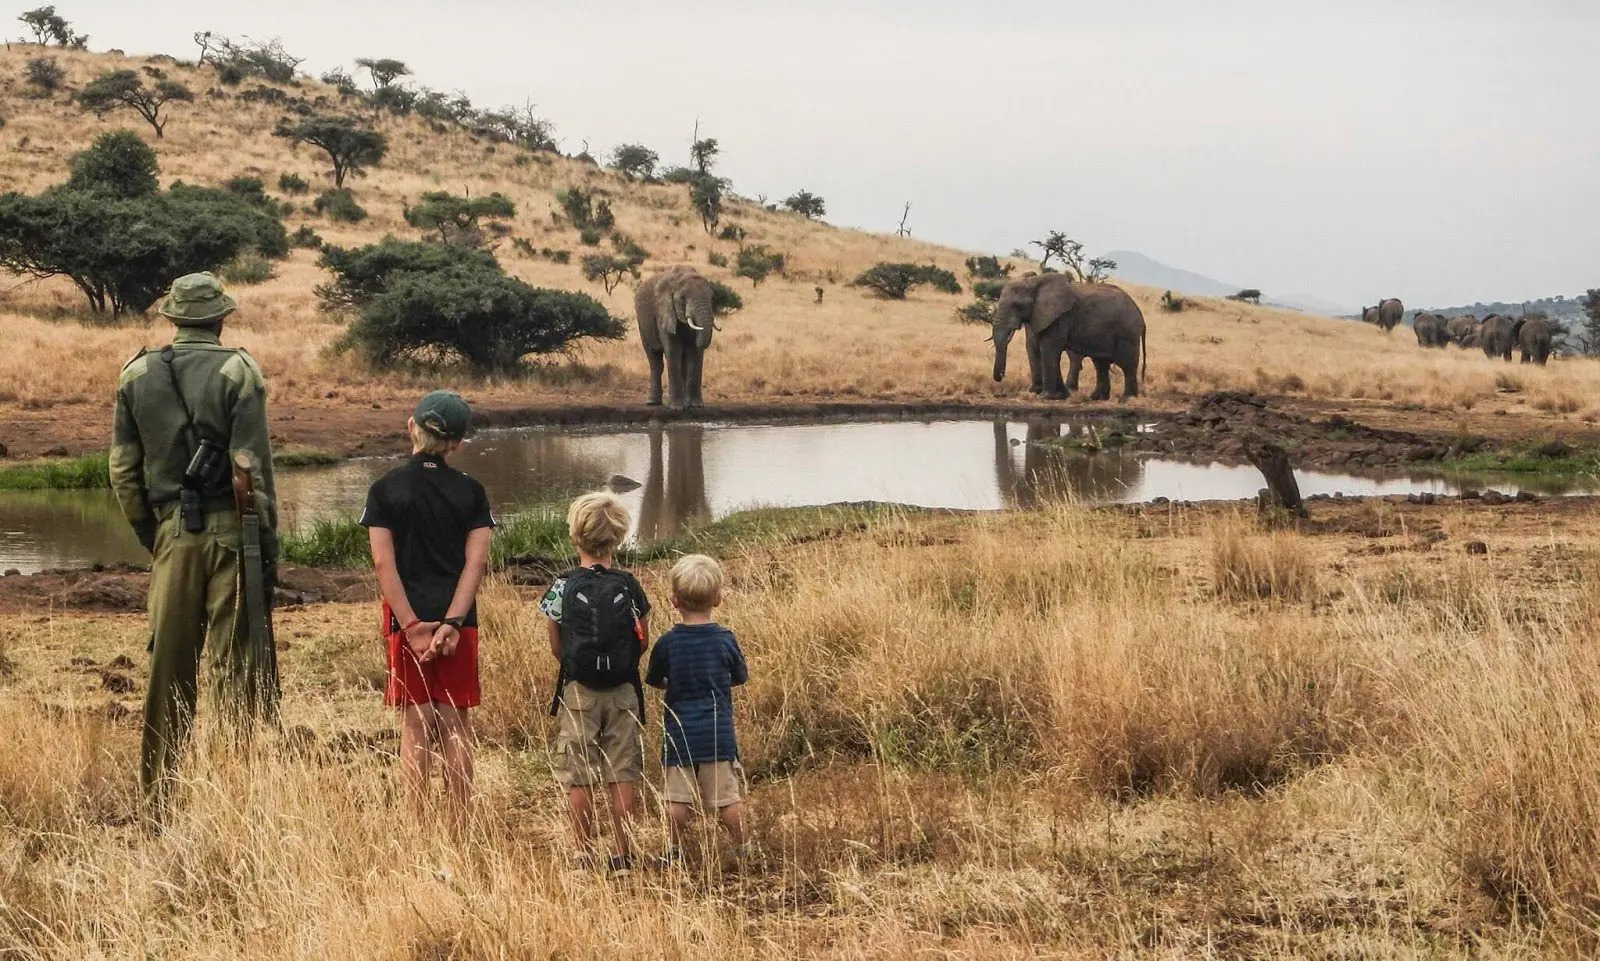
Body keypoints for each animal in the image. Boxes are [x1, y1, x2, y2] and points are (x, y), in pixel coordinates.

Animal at [636, 266, 717, 409]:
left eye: (712, 298)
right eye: (683, 298)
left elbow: (695, 353)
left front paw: (695, 406)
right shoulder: (663, 312)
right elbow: (673, 351)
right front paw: (677, 408)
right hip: (642, 325)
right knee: (655, 361)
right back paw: (652, 402)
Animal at [992, 275, 1146, 401]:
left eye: (1018, 306)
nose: (1001, 377)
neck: (1034, 282)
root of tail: (1140, 314)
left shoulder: (1060, 317)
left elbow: (1048, 349)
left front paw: (1045, 396)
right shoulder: (1040, 316)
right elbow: (1036, 349)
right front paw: (1053, 395)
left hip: (1127, 333)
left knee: (1127, 364)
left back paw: (1127, 399)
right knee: (1100, 363)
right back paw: (1096, 398)